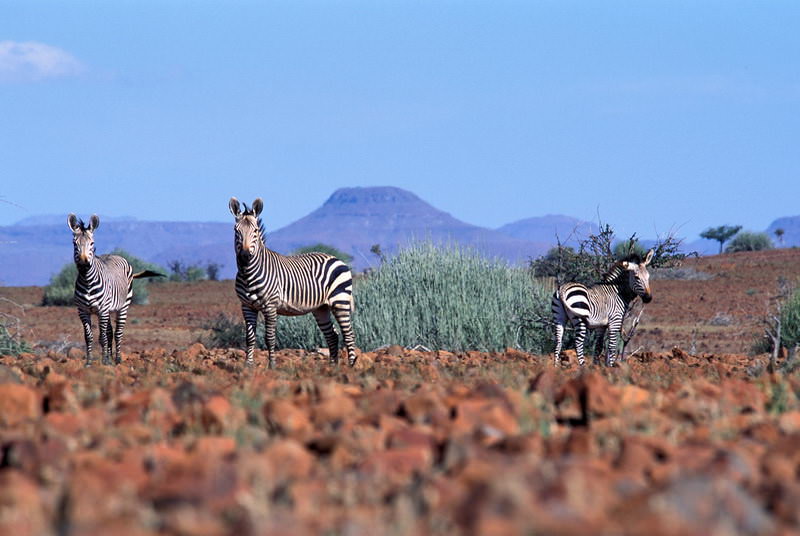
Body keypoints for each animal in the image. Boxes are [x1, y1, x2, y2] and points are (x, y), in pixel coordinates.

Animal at [69, 214, 164, 364]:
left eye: (92, 243)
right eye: (74, 244)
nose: (84, 264)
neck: (87, 281)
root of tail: (115, 254)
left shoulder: (102, 310)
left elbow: (102, 337)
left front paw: (104, 362)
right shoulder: (82, 311)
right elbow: (89, 337)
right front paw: (90, 362)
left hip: (123, 306)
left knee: (118, 333)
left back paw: (118, 359)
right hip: (108, 310)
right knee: (109, 332)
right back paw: (110, 358)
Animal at [230, 197, 358, 368]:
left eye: (255, 231)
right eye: (236, 231)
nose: (244, 256)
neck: (248, 274)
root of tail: (336, 258)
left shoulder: (270, 306)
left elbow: (269, 338)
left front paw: (272, 366)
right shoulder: (246, 306)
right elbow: (249, 338)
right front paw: (248, 366)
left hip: (340, 301)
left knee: (348, 333)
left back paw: (351, 366)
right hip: (321, 308)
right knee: (333, 335)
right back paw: (332, 367)